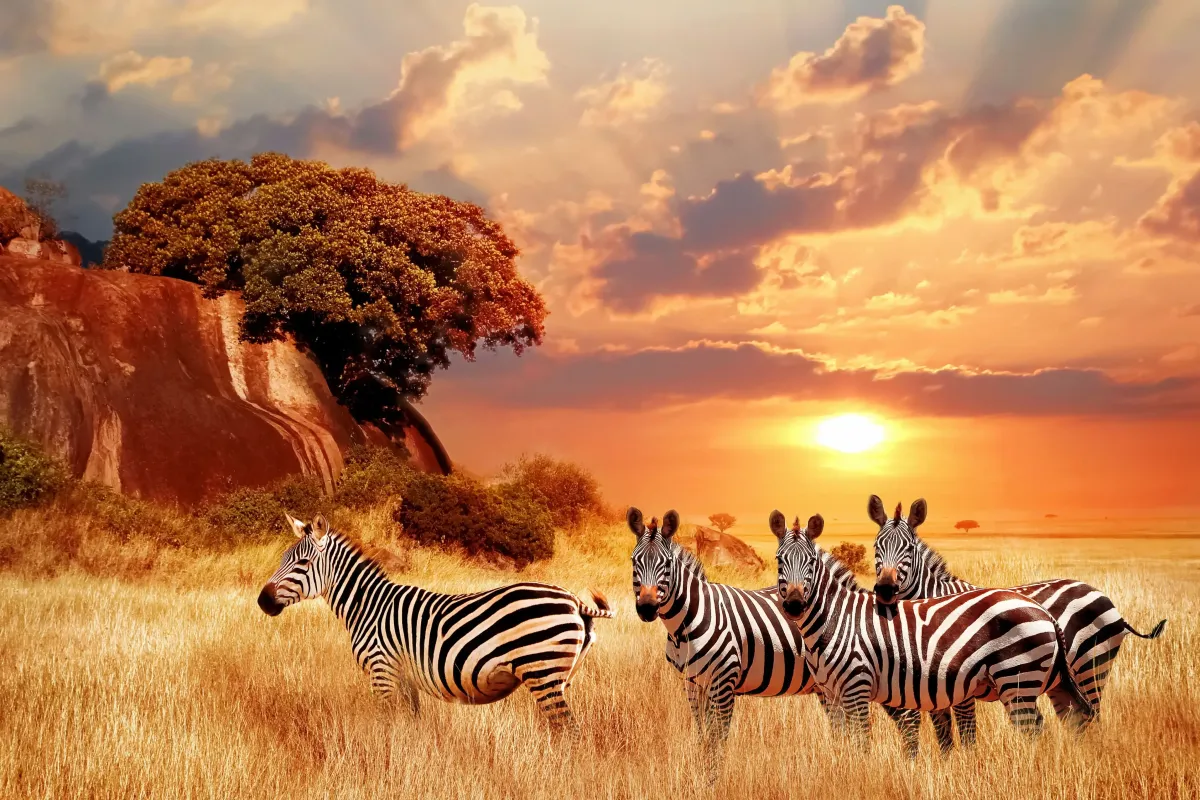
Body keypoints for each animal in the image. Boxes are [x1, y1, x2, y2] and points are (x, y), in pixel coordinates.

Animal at [257, 514, 614, 731]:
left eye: (303, 563)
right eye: (283, 559)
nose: (262, 601)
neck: (367, 606)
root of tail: (573, 600)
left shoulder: (381, 671)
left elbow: (386, 725)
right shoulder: (403, 676)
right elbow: (412, 725)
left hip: (542, 671)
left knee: (569, 730)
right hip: (561, 676)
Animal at [627, 507, 921, 769]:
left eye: (666, 564)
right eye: (633, 561)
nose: (647, 609)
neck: (687, 622)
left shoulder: (723, 680)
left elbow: (718, 738)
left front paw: (715, 779)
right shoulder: (691, 683)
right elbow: (704, 737)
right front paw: (702, 774)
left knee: (908, 719)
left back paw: (909, 769)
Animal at [772, 509, 1094, 750]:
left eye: (811, 562)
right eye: (779, 561)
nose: (794, 606)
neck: (836, 619)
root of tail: (1043, 611)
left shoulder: (856, 687)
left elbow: (862, 742)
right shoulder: (833, 694)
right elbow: (843, 743)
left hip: (1017, 678)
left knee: (1033, 729)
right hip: (1050, 681)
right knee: (1071, 719)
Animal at [871, 495, 1167, 748]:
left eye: (909, 549)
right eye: (876, 547)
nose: (885, 589)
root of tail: (1102, 596)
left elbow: (965, 734)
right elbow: (943, 734)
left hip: (1090, 665)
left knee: (1092, 716)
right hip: (1063, 679)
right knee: (1077, 721)